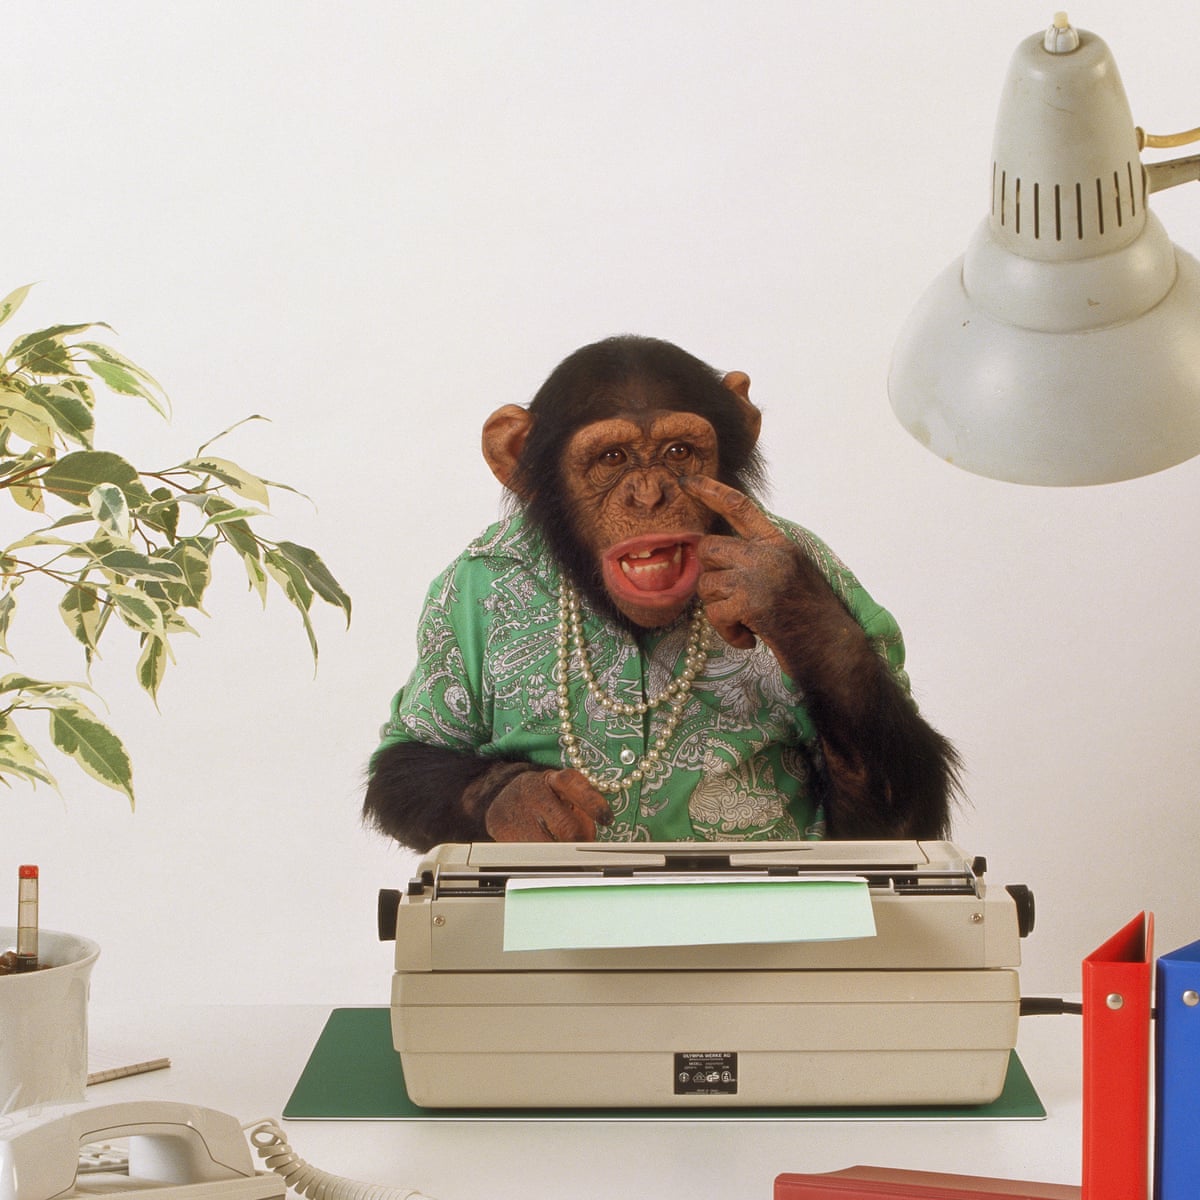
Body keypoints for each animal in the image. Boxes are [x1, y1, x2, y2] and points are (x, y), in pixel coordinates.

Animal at [364, 335, 959, 851]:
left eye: (678, 452)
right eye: (613, 459)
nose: (649, 495)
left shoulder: (835, 571)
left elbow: (888, 823)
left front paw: (784, 600)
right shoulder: (455, 587)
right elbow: (410, 748)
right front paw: (525, 801)